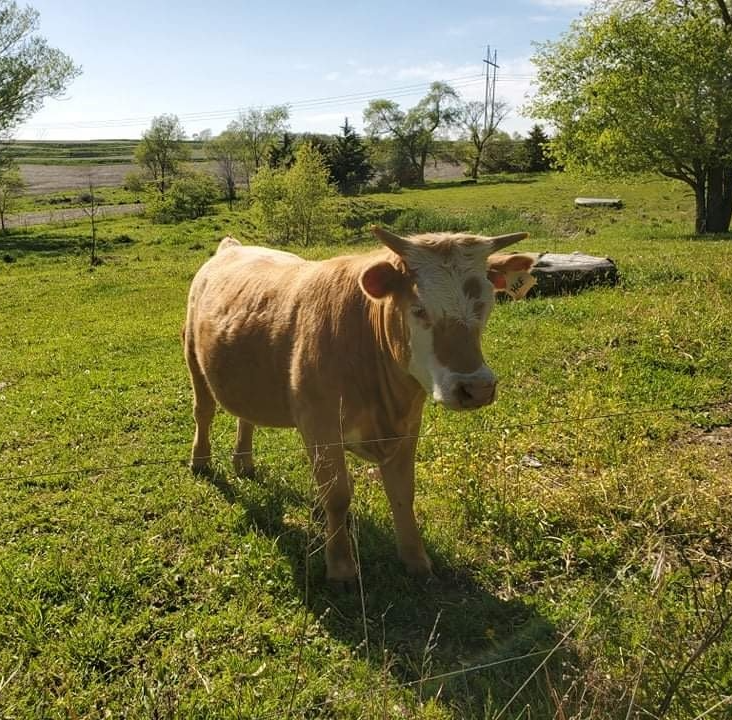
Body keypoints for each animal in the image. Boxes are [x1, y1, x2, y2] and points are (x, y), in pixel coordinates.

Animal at [183, 226, 536, 582]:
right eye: (419, 309)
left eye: (486, 304)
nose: (476, 388)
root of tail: (231, 248)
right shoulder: (320, 426)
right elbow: (337, 496)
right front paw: (340, 566)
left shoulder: (409, 426)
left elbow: (403, 492)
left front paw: (415, 558)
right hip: (193, 358)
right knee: (204, 412)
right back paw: (200, 461)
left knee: (246, 416)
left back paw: (243, 462)